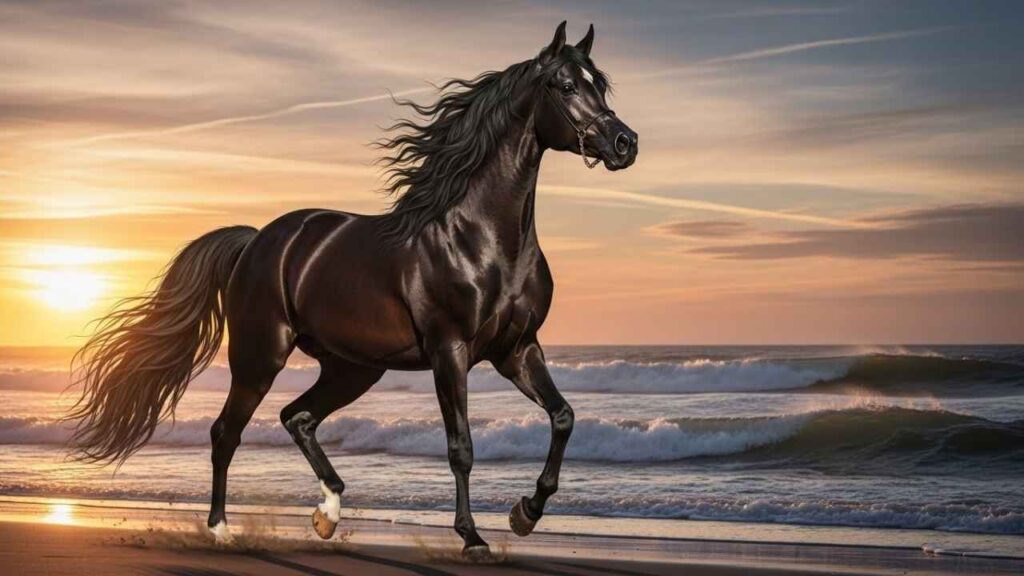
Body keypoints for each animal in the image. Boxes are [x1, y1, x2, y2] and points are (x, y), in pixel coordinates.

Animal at [66, 21, 638, 559]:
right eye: (565, 84)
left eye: (600, 84)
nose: (625, 144)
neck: (482, 239)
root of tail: (257, 240)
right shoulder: (450, 351)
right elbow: (461, 446)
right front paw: (472, 538)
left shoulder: (516, 349)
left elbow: (563, 416)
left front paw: (525, 513)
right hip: (260, 357)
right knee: (227, 431)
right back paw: (222, 531)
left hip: (353, 368)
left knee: (297, 417)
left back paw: (328, 514)